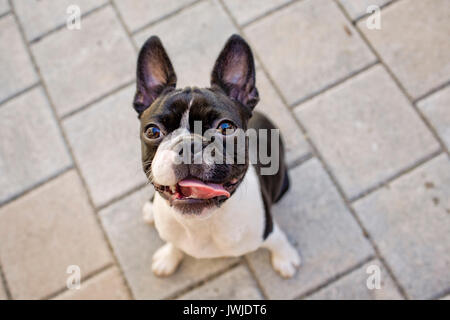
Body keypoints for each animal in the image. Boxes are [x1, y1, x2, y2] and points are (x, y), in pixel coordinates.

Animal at [134, 33, 302, 278]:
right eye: (153, 132)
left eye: (225, 127)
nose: (189, 146)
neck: (201, 222)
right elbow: (174, 243)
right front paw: (168, 256)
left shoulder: (267, 230)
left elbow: (277, 240)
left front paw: (285, 257)